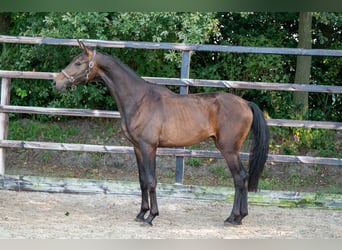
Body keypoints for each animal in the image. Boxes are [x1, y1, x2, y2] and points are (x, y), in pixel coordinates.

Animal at [52, 41, 270, 227]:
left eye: (78, 62)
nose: (56, 82)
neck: (139, 100)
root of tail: (246, 104)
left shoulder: (149, 147)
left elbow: (151, 180)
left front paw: (151, 217)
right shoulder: (137, 148)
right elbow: (142, 180)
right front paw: (141, 214)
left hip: (228, 149)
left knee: (239, 178)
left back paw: (233, 217)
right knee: (242, 178)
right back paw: (239, 217)